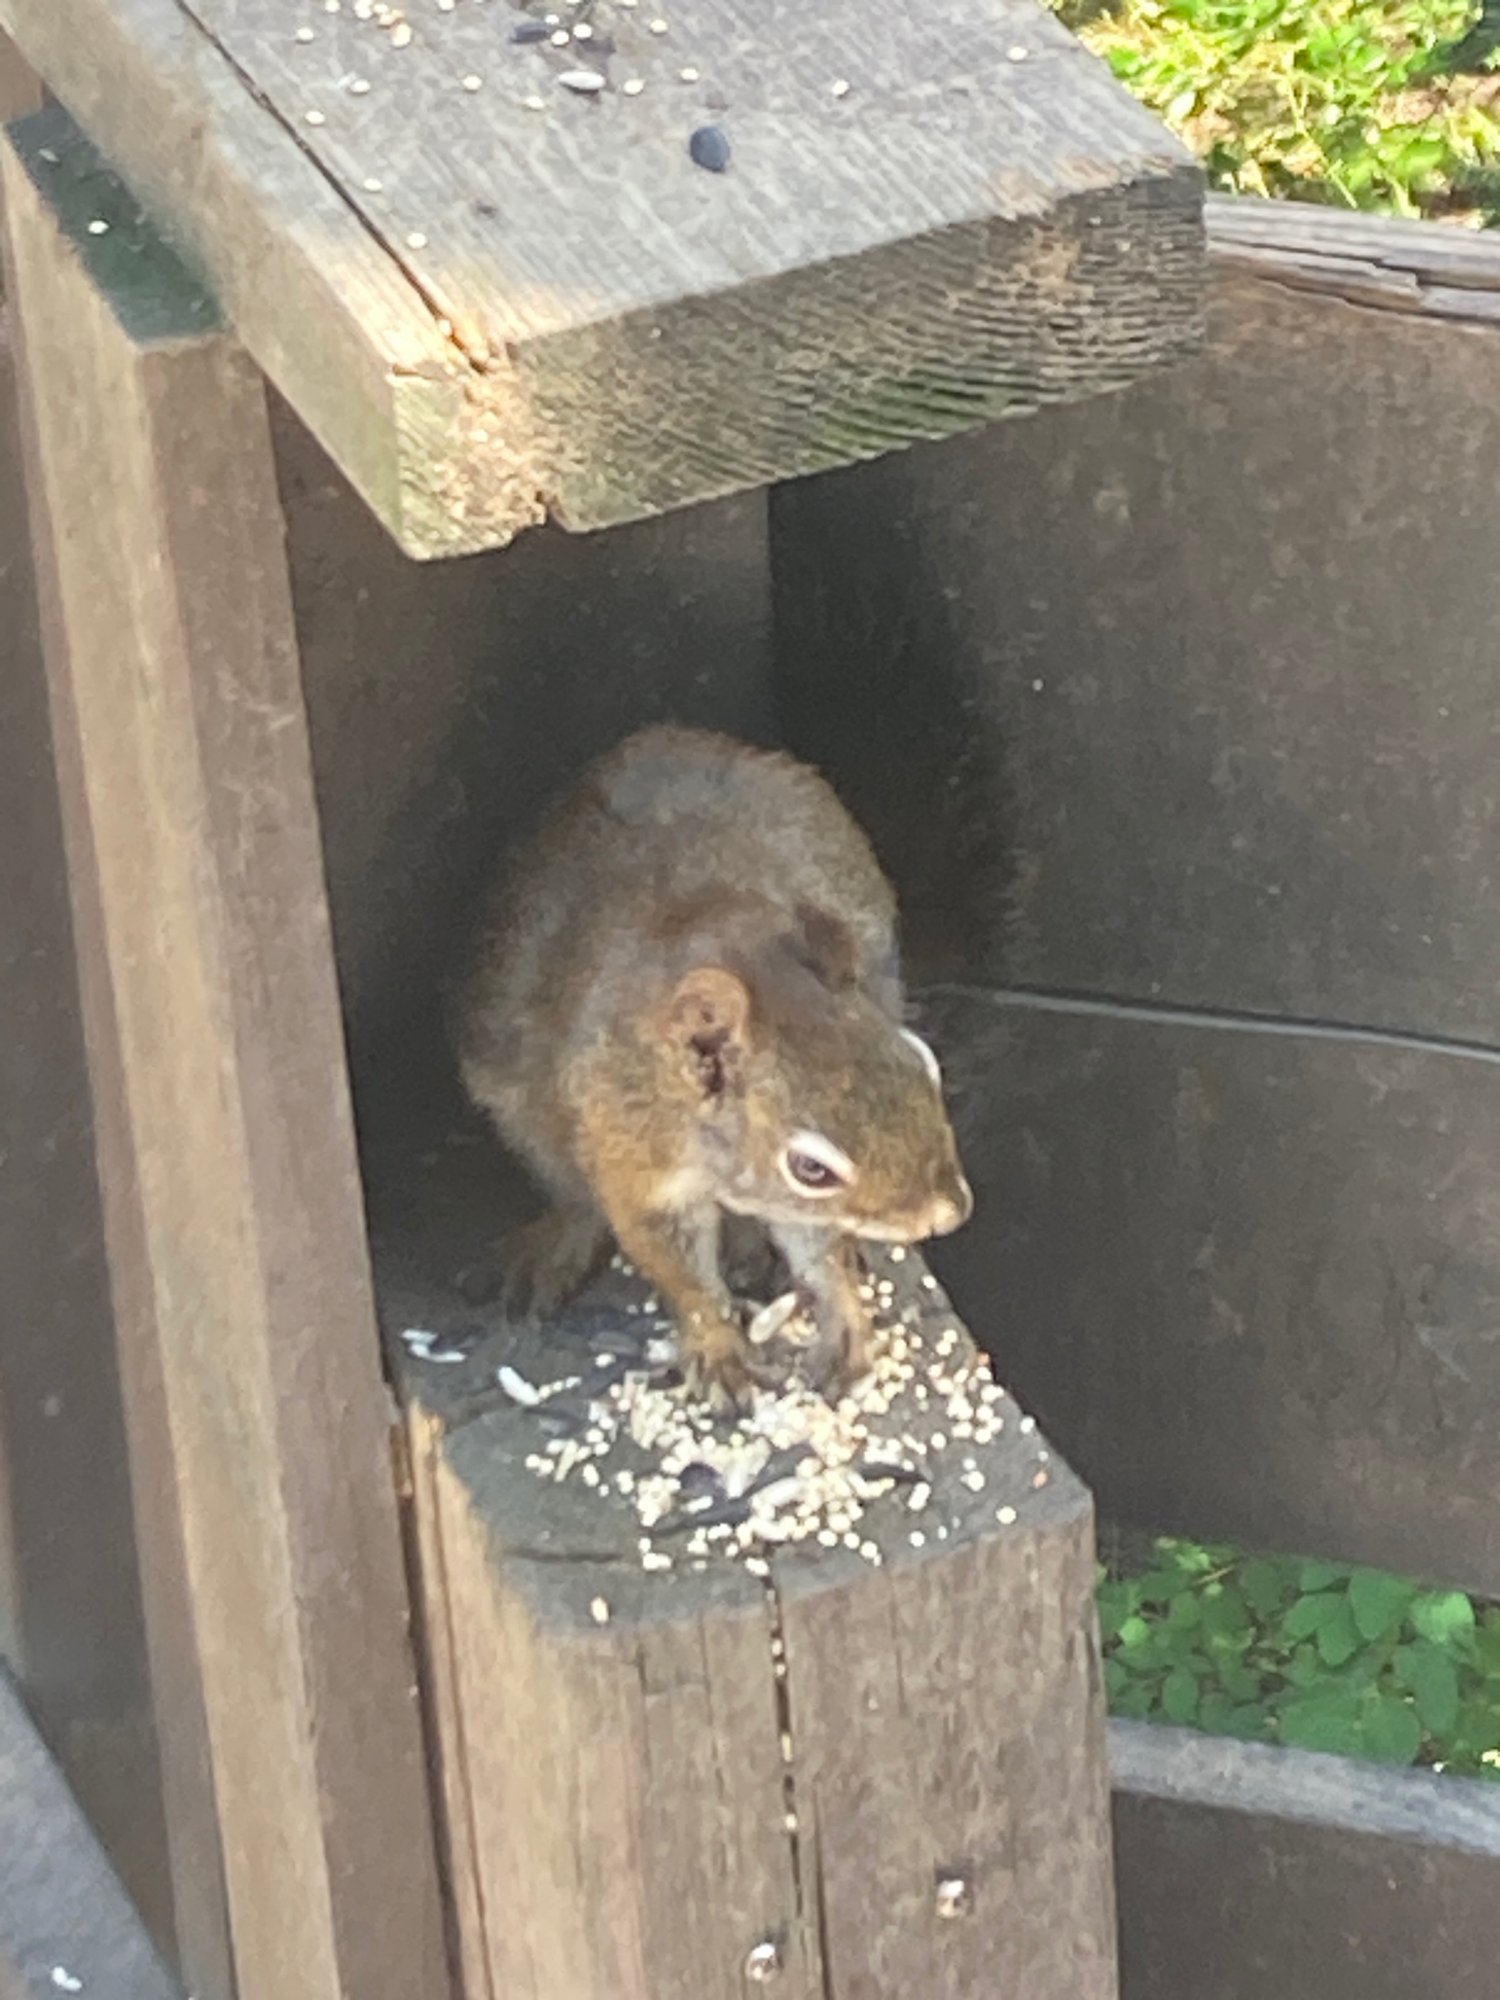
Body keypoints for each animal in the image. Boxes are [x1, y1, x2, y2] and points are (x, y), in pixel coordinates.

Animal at [453, 725, 973, 1407]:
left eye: (921, 1061)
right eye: (811, 1168)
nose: (950, 1211)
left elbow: (819, 1247)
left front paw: (845, 1321)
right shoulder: (633, 1159)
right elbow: (677, 1270)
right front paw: (720, 1348)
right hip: (520, 1107)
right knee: (573, 1192)